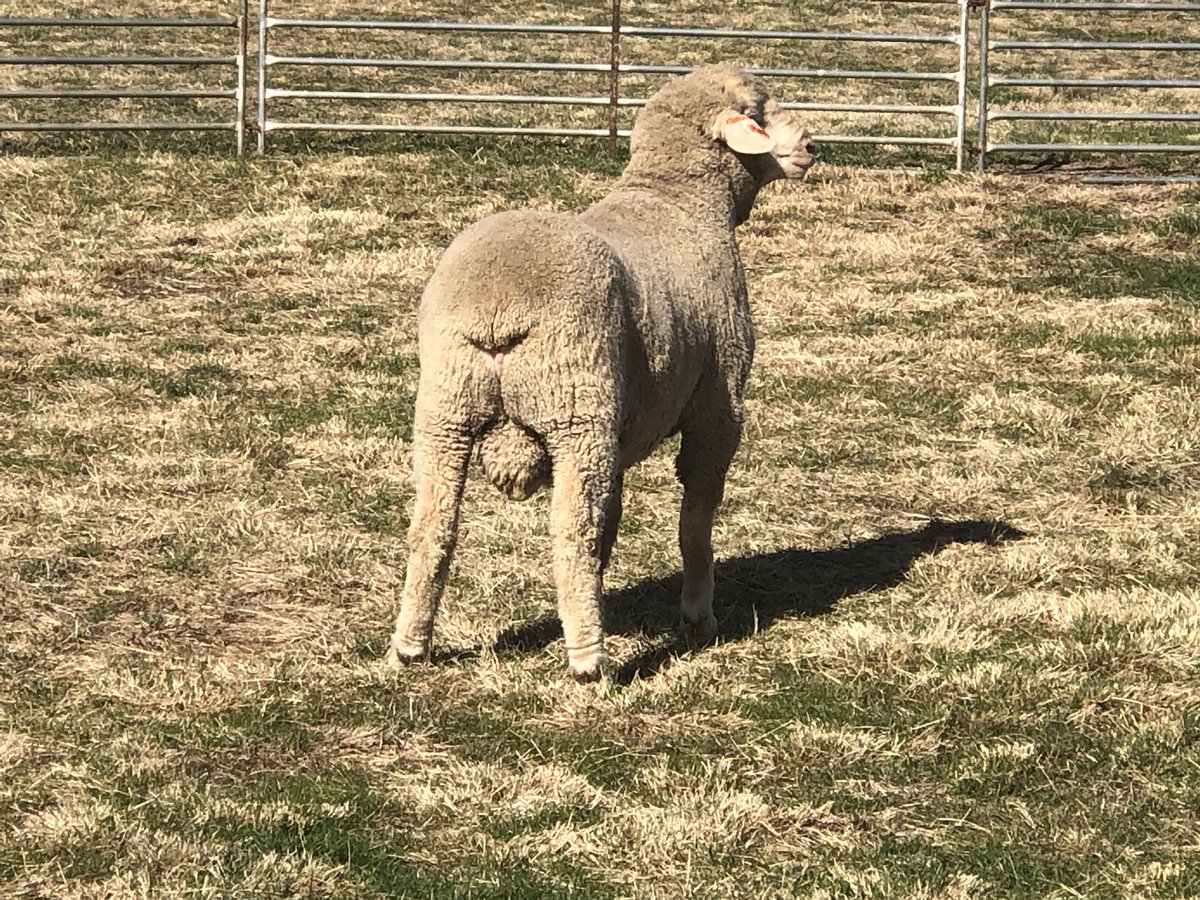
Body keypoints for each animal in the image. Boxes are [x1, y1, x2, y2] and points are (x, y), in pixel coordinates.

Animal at [384, 64, 815, 681]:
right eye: (758, 110)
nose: (809, 146)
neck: (678, 204)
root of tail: (495, 311)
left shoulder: (623, 426)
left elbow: (612, 519)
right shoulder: (719, 403)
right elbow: (696, 519)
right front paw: (698, 617)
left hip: (446, 411)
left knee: (432, 527)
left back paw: (409, 647)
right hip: (575, 410)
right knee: (571, 531)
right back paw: (590, 661)